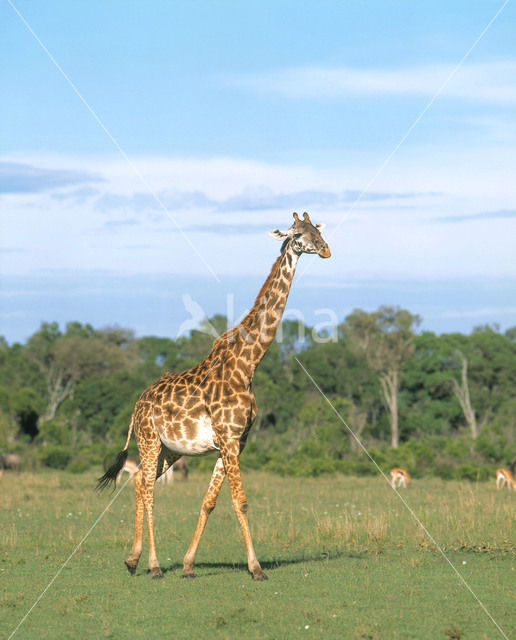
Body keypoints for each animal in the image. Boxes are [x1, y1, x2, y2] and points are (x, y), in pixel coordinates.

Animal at [98, 214, 330, 580]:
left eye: (317, 230)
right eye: (297, 234)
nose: (325, 249)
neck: (248, 364)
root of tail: (136, 405)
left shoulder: (234, 442)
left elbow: (209, 502)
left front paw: (189, 565)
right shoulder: (230, 439)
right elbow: (241, 501)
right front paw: (256, 568)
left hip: (170, 449)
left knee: (137, 483)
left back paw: (133, 560)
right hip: (149, 441)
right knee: (148, 491)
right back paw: (153, 565)